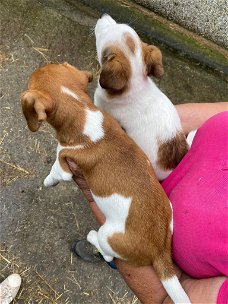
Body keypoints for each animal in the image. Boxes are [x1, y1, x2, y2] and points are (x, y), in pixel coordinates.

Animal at [21, 63, 191, 302]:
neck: (82, 111)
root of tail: (160, 252)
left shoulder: (64, 162)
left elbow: (54, 172)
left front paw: (47, 182)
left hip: (107, 235)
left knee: (108, 253)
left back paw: (92, 238)